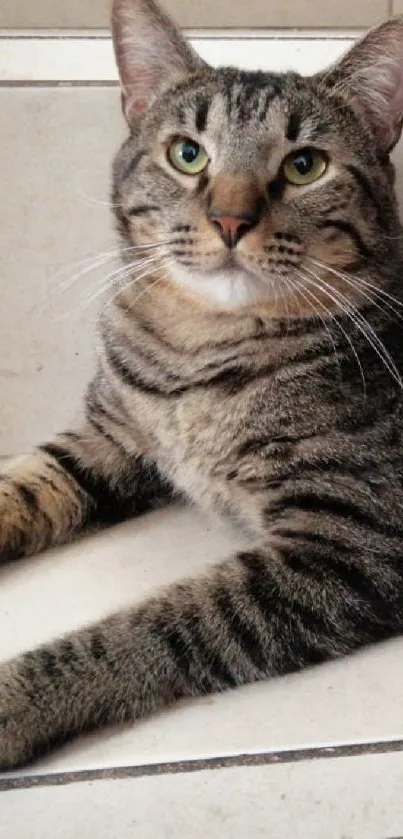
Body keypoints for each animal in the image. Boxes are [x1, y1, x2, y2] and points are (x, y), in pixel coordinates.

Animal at [2, 1, 403, 776]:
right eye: (188, 154)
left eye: (304, 165)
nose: (229, 219)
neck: (200, 347)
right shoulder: (108, 437)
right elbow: (24, 483)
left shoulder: (347, 545)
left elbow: (151, 627)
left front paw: (15, 695)